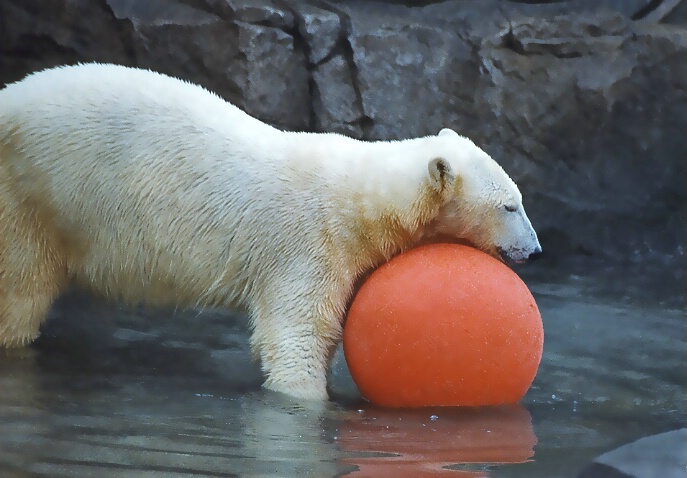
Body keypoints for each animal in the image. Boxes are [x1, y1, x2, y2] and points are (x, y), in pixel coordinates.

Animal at [0, 63, 544, 400]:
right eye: (510, 205)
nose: (536, 251)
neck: (360, 201)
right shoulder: (307, 244)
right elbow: (297, 332)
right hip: (27, 199)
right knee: (21, 290)